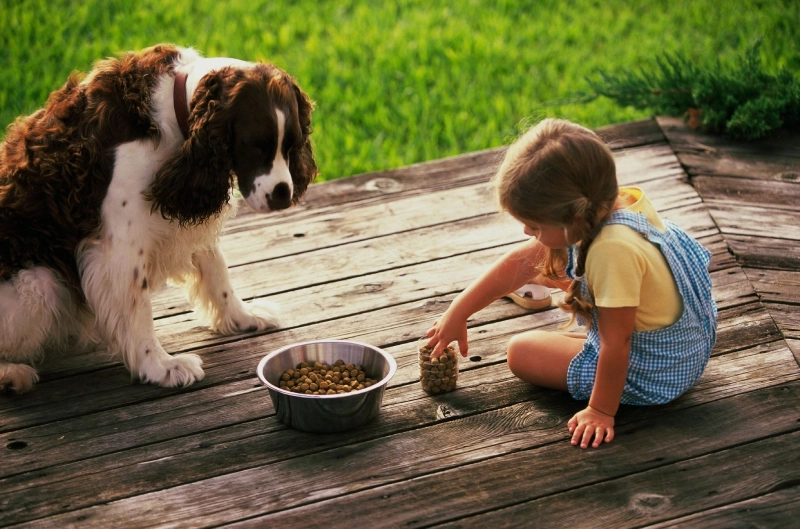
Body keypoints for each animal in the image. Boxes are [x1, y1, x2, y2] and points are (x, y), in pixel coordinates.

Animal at [0, 44, 318, 392]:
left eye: (291, 145)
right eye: (255, 147)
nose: (283, 193)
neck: (174, 109)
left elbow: (217, 269)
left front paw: (243, 317)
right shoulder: (118, 246)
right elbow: (138, 308)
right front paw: (160, 366)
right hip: (41, 283)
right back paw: (11, 373)